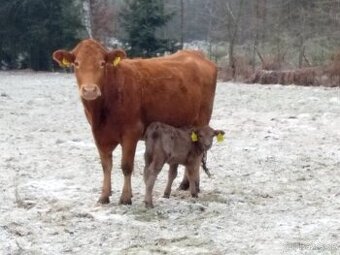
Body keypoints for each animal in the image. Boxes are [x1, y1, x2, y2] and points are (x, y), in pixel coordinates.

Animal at [51, 38, 216, 204]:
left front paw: (125, 197)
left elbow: (126, 166)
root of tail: (196, 54)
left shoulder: (131, 132)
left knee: (198, 157)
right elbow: (106, 166)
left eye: (102, 63)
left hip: (202, 121)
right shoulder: (99, 135)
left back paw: (193, 185)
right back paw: (185, 184)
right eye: (76, 63)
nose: (90, 90)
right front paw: (104, 195)